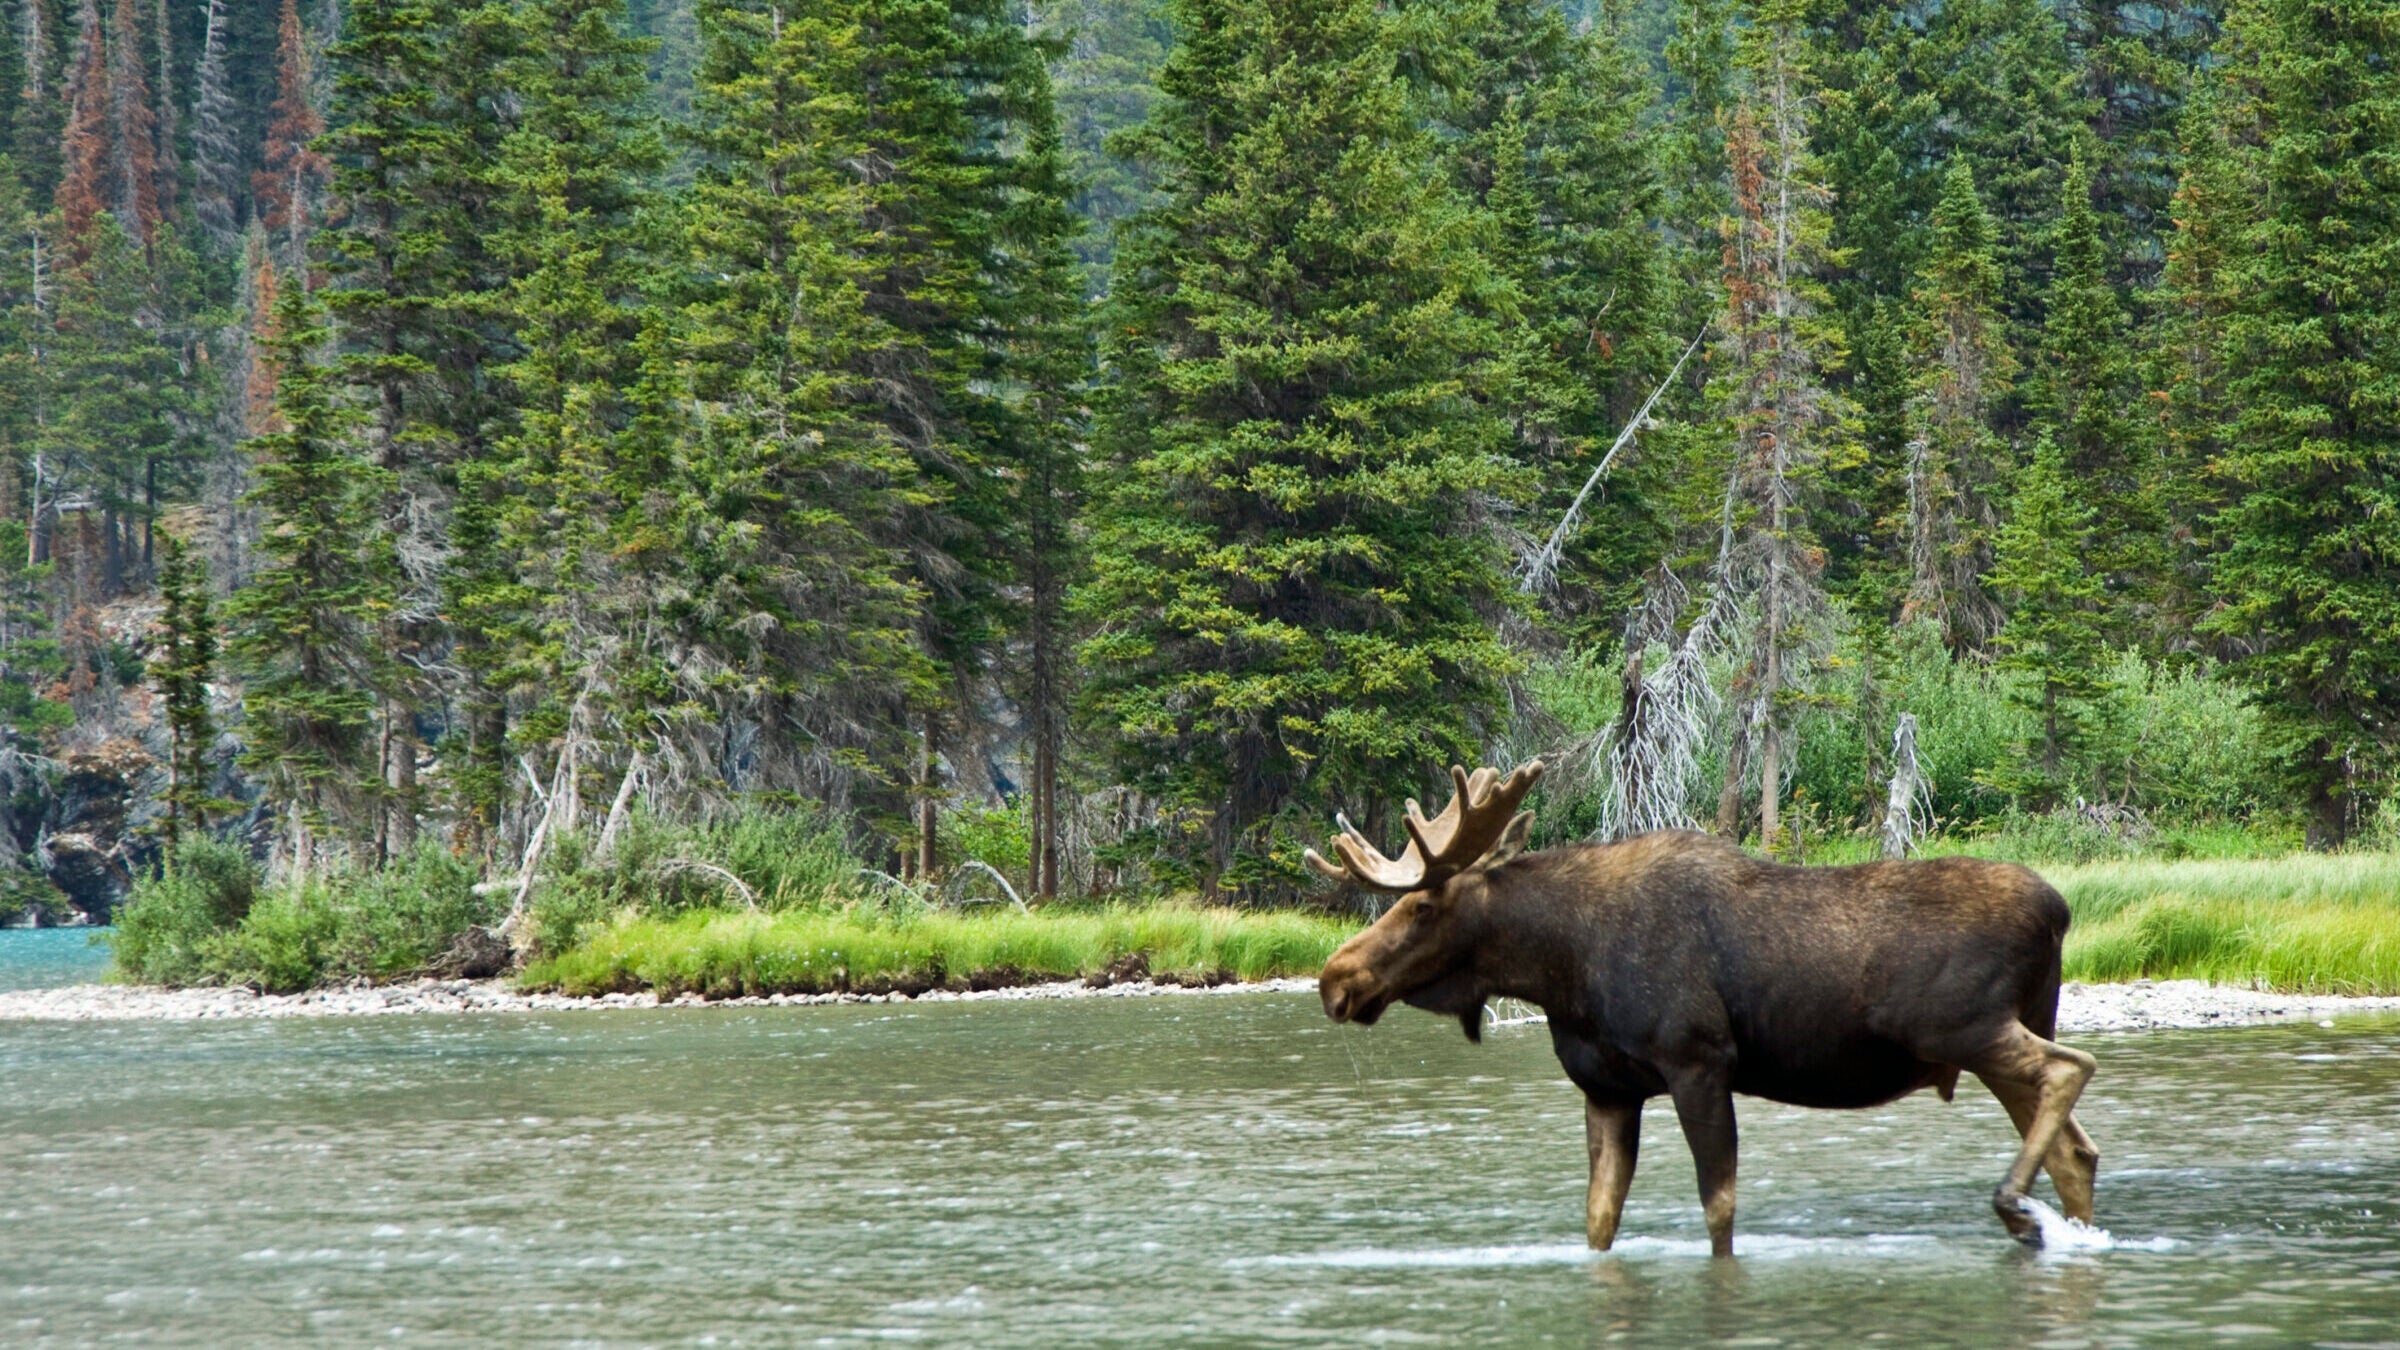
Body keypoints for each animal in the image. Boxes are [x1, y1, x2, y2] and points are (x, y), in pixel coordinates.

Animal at [1307, 759, 2100, 1257]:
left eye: (1422, 905)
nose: (1334, 978)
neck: (1561, 968)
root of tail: (2060, 912)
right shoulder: (1606, 1087)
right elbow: (1598, 1221)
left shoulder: (1698, 1060)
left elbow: (1718, 1211)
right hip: (1995, 1034)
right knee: (2074, 1150)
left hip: (1960, 1024)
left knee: (2071, 1069)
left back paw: (2014, 1209)